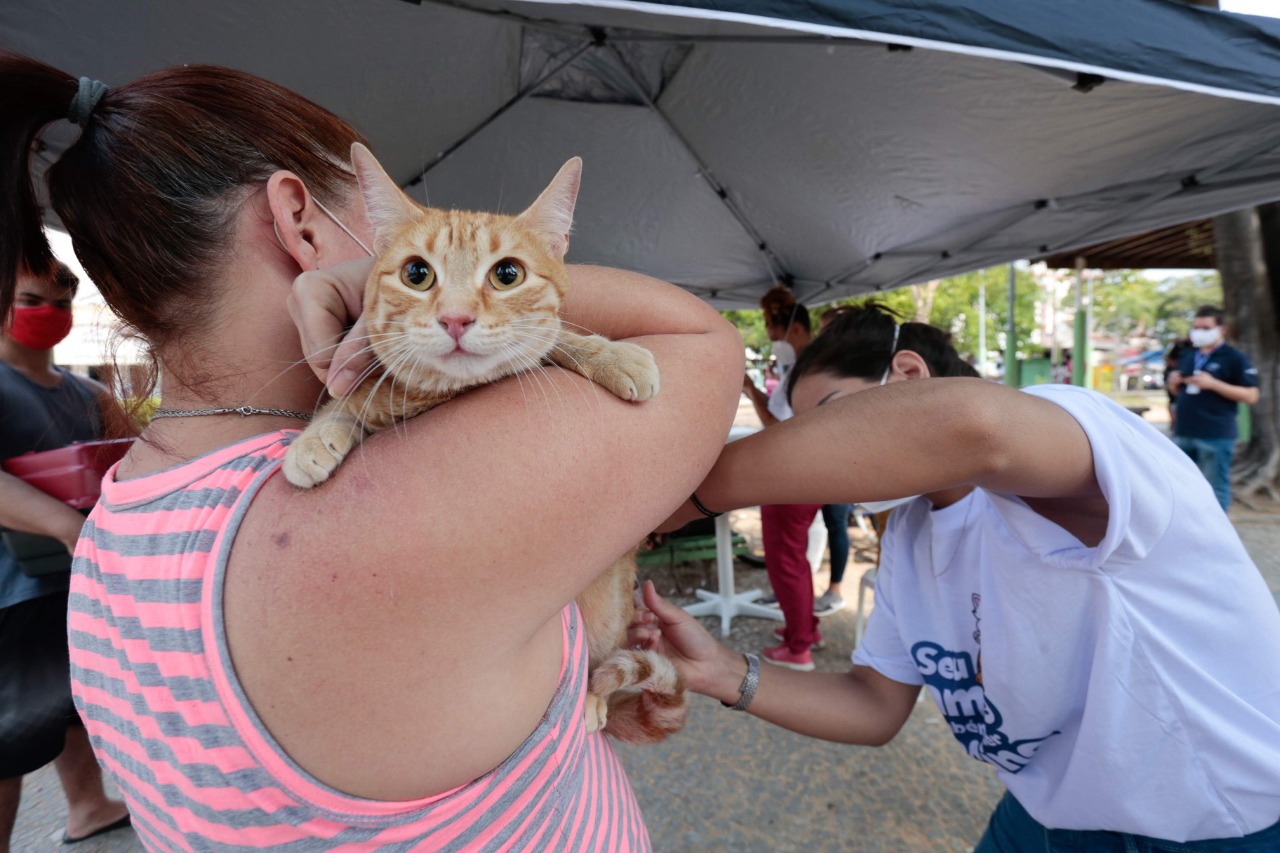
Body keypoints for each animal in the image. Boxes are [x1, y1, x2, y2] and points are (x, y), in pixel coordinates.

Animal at [284, 142, 691, 742]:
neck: (441, 395)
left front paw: (612, 354)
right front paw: (317, 437)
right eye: (416, 273)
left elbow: (558, 339)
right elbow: (348, 398)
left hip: (607, 603)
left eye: (507, 274)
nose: (455, 318)